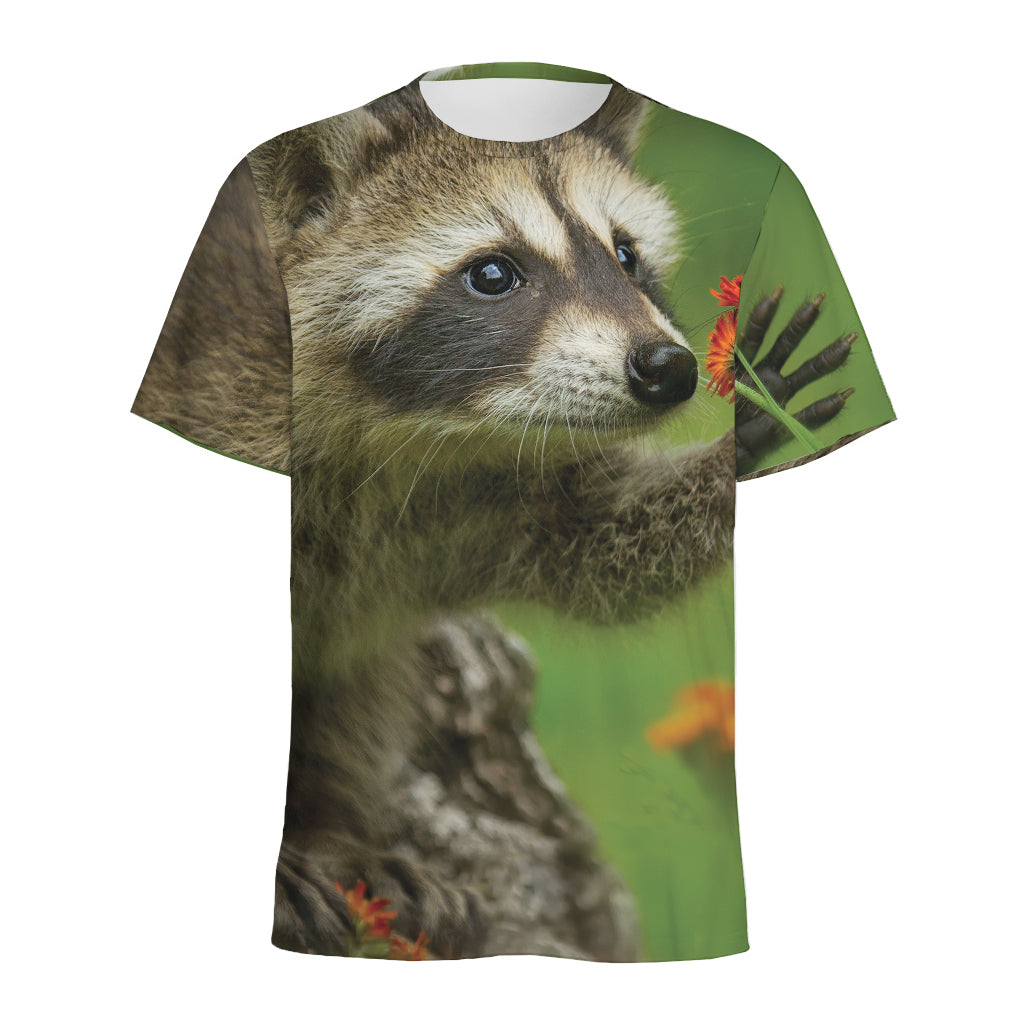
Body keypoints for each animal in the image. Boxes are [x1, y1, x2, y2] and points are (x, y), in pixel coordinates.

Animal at [146, 83, 856, 959]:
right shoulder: (225, 380)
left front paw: (744, 442)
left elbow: (600, 549)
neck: (418, 432)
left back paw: (334, 828)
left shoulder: (480, 496)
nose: (668, 369)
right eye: (492, 273)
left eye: (626, 255)